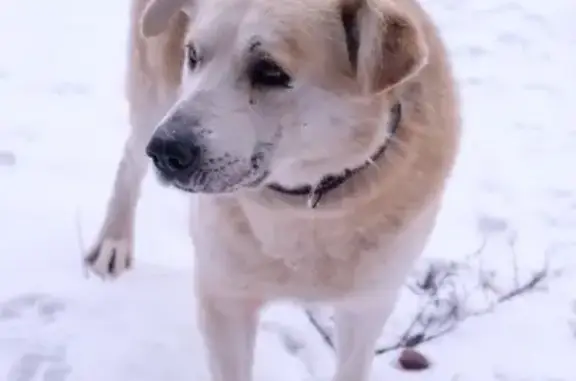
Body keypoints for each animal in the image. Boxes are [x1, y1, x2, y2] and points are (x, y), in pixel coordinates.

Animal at [84, 0, 460, 378]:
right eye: (193, 55)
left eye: (270, 72)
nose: (164, 150)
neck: (305, 206)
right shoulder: (225, 299)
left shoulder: (367, 306)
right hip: (155, 96)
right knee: (131, 159)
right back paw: (113, 242)